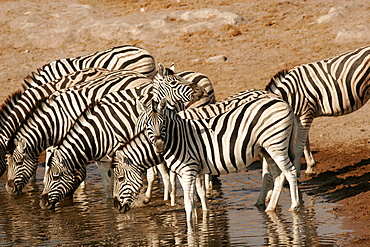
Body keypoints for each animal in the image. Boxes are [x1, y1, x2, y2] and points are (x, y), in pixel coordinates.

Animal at [266, 44, 370, 176]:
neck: (290, 95)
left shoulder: (306, 114)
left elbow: (299, 146)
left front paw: (298, 172)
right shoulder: (300, 117)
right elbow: (305, 143)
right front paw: (310, 167)